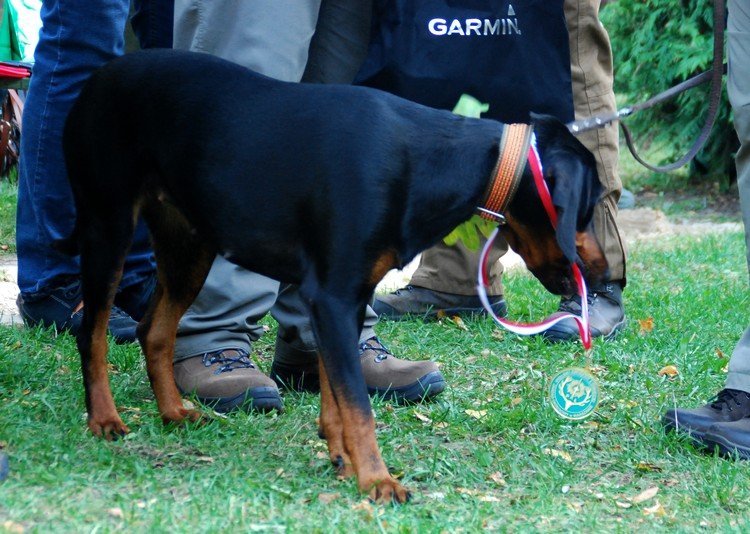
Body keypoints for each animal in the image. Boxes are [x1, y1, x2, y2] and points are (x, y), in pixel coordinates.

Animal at [60, 48, 612, 504]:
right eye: (586, 212)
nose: (605, 274)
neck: (429, 161)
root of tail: (97, 78)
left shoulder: (342, 299)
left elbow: (334, 391)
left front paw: (343, 460)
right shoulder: (333, 297)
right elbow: (359, 403)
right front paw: (377, 480)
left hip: (189, 245)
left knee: (155, 330)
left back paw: (174, 412)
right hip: (108, 227)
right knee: (93, 331)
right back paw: (105, 419)